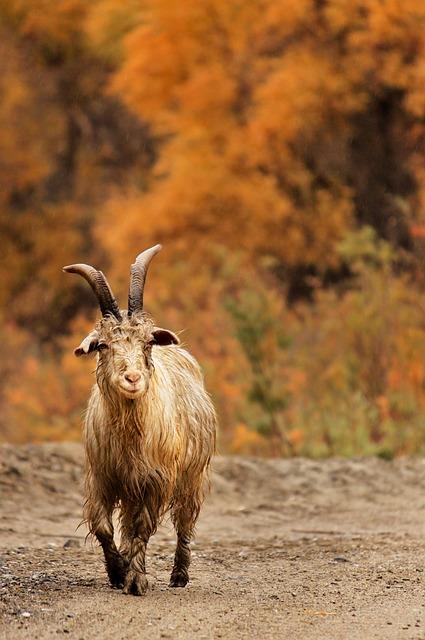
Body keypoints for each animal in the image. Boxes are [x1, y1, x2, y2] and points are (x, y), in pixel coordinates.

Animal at [64, 245, 217, 596]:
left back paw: (179, 576)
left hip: (192, 476)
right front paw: (118, 572)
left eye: (147, 342)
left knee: (184, 522)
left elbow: (143, 528)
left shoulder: (155, 479)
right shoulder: (102, 476)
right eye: (103, 344)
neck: (130, 433)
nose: (132, 378)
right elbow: (103, 526)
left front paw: (135, 580)